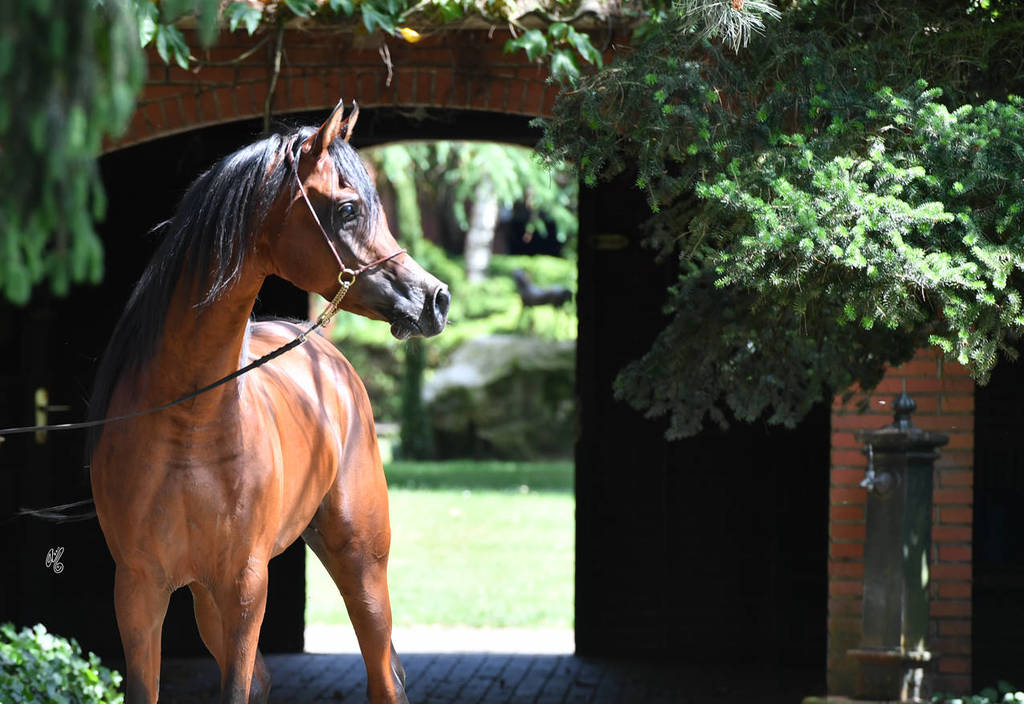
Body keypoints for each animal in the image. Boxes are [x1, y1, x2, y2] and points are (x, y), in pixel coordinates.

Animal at [87, 100, 448, 703]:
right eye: (348, 208)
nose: (435, 299)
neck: (190, 427)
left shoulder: (245, 587)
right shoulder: (138, 592)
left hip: (361, 564)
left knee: (383, 676)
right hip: (207, 600)